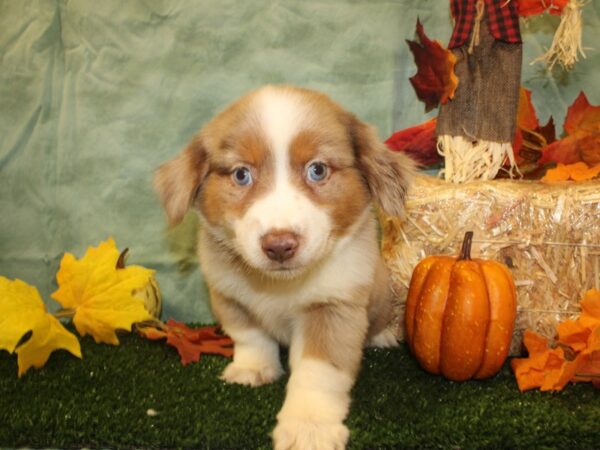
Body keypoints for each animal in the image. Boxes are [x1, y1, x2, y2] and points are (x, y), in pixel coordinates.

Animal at [156, 85, 412, 450]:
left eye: (317, 170)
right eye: (241, 174)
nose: (279, 245)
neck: (278, 286)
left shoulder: (333, 309)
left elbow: (318, 374)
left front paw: (309, 427)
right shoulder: (228, 295)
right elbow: (250, 337)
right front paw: (253, 370)